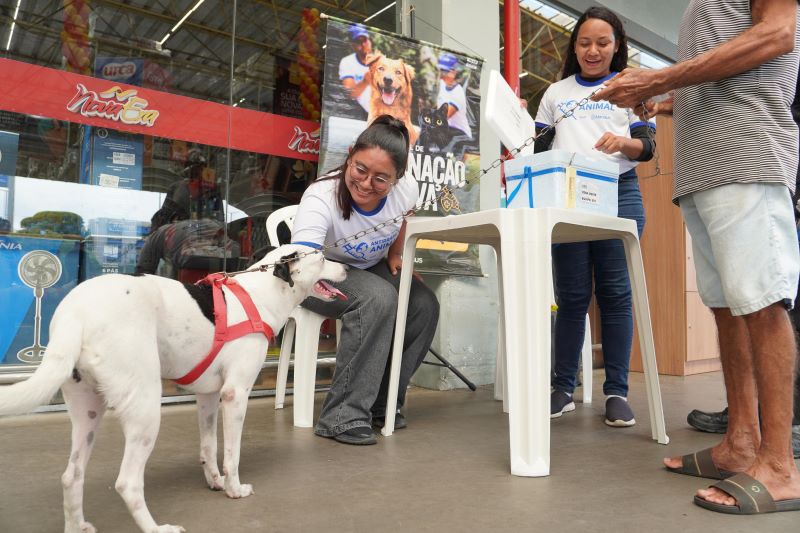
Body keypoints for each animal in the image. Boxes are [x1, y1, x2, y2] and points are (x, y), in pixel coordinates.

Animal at [0, 245, 346, 532]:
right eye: (322, 257)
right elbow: (232, 454)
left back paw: (77, 526)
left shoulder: (208, 396)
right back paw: (156, 529)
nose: (347, 267)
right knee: (127, 482)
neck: (262, 295)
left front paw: (215, 481)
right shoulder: (235, 394)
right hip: (145, 407)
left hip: (87, 410)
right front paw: (234, 489)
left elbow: (208, 446)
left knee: (72, 476)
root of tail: (75, 311)